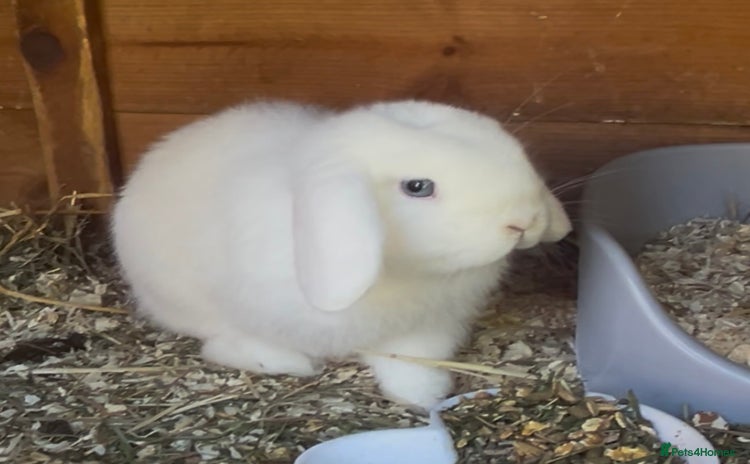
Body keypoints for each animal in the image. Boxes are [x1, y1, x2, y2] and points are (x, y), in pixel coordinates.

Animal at [111, 99, 572, 410]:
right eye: (418, 187)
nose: (523, 221)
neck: (407, 273)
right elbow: (237, 342)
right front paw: (284, 363)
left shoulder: (423, 329)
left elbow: (411, 362)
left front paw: (421, 395)